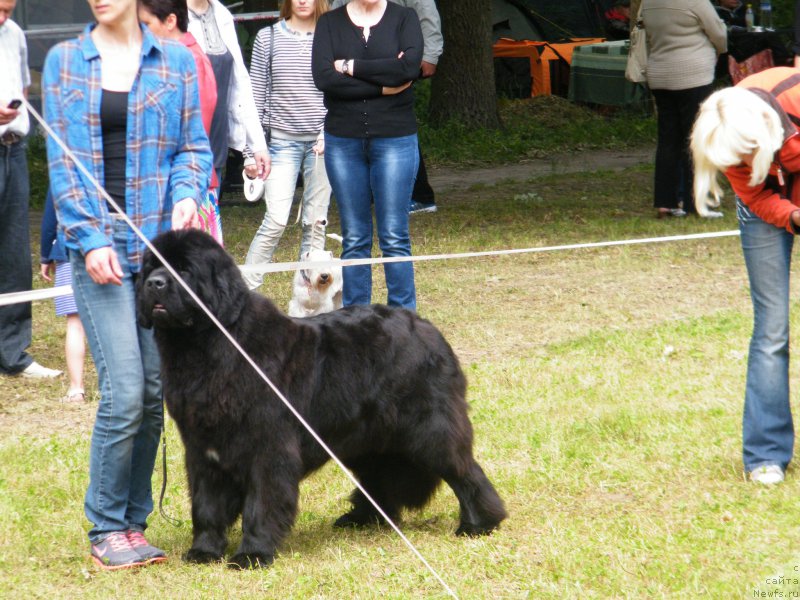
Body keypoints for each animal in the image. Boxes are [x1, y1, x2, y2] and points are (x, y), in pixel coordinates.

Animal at [134, 229, 504, 568]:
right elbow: (207, 505)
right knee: (379, 475)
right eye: (150, 267)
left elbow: (261, 503)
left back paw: (480, 523)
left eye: (184, 270)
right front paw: (205, 551)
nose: (153, 284)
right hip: (367, 437)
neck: (207, 345)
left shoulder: (268, 447)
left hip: (428, 428)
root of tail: (427, 328)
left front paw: (252, 554)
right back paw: (364, 518)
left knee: (463, 470)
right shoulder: (202, 449)